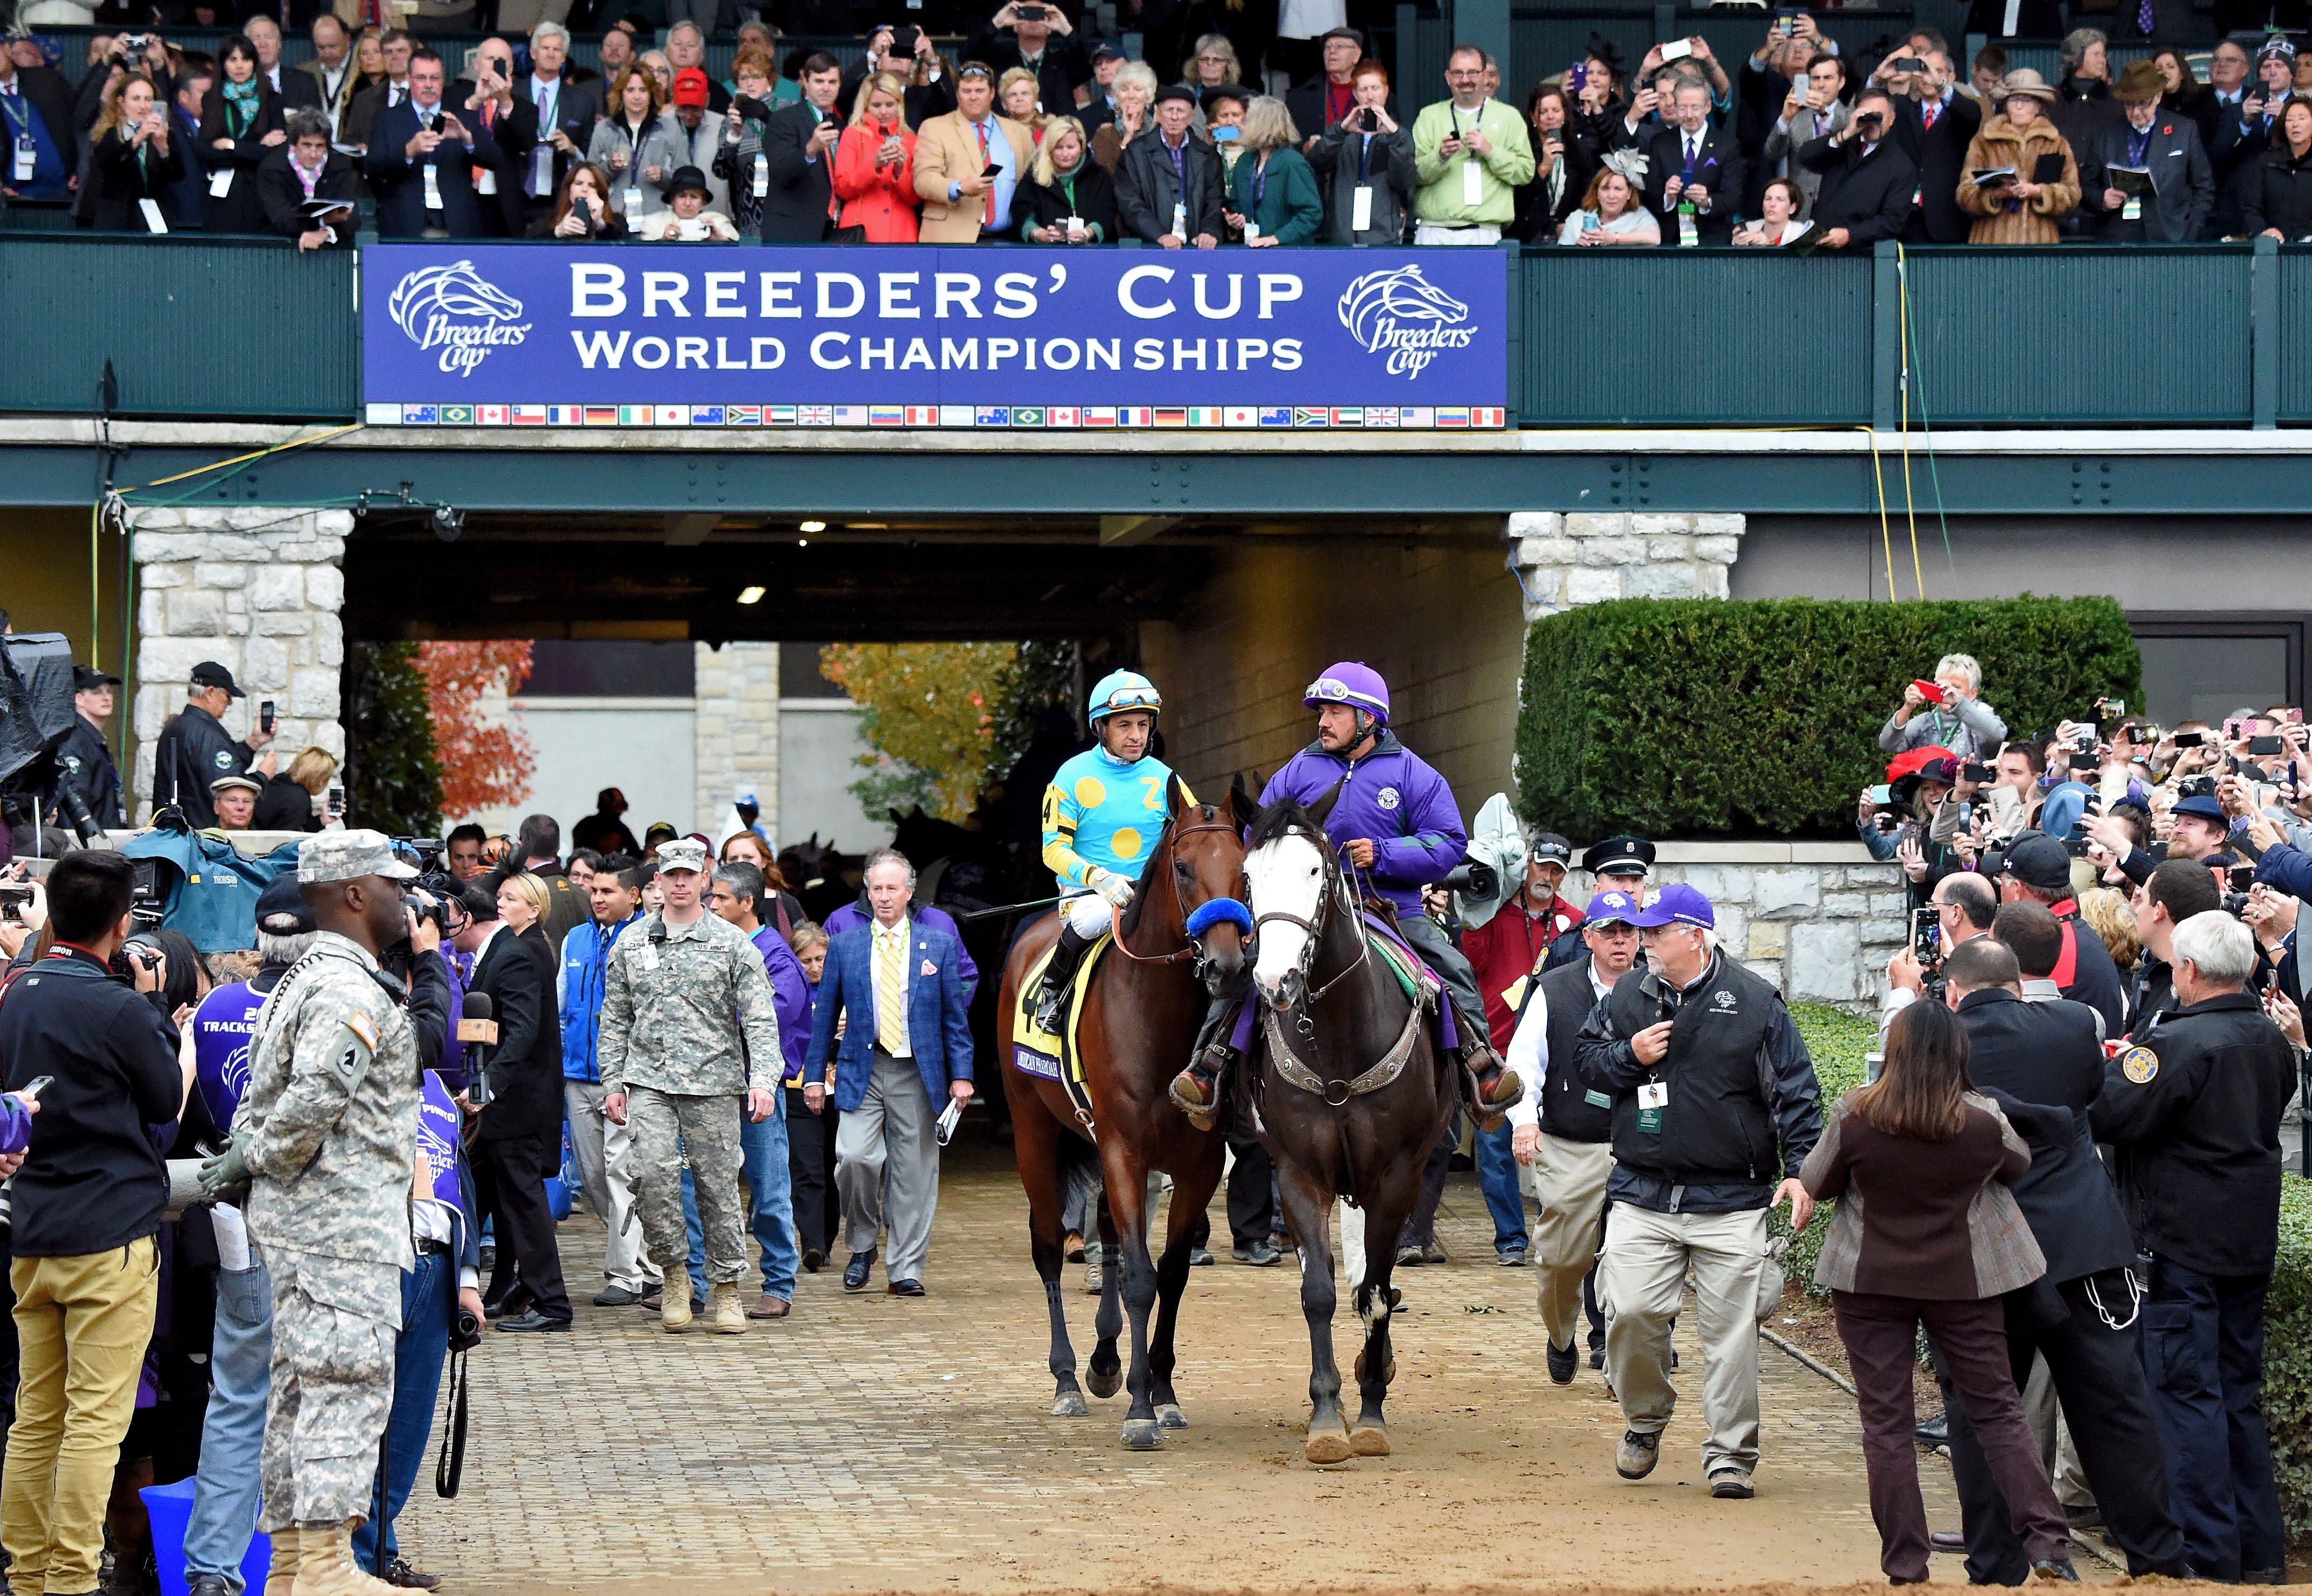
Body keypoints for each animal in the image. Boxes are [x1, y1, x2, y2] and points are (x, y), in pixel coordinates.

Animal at [994, 777, 1248, 1452]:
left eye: (1243, 870)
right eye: (1183, 868)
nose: (1227, 966)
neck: (1157, 1017)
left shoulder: (1197, 1164)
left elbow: (1171, 1274)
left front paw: (1161, 1391)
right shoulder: (1122, 1149)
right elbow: (1139, 1276)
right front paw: (1139, 1411)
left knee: (1105, 1234)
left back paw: (1105, 1360)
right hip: (1035, 1131)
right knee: (1048, 1244)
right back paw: (1066, 1379)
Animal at [1239, 781, 1452, 1452]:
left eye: (1315, 870)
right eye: (1247, 875)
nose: (1275, 981)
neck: (1337, 1039)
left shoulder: (1396, 1174)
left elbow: (1378, 1296)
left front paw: (1372, 1411)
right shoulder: (1298, 1172)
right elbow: (1319, 1292)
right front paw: (1327, 1415)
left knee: (1371, 1282)